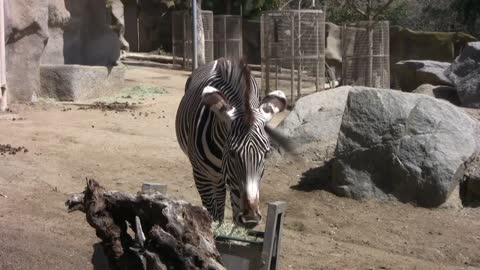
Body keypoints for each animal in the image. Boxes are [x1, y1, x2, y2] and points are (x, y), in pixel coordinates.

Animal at [177, 58, 286, 228]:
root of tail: (219, 59)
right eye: (233, 153)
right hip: (212, 177)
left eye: (266, 153)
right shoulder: (201, 176)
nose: (251, 219)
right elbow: (213, 214)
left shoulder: (240, 189)